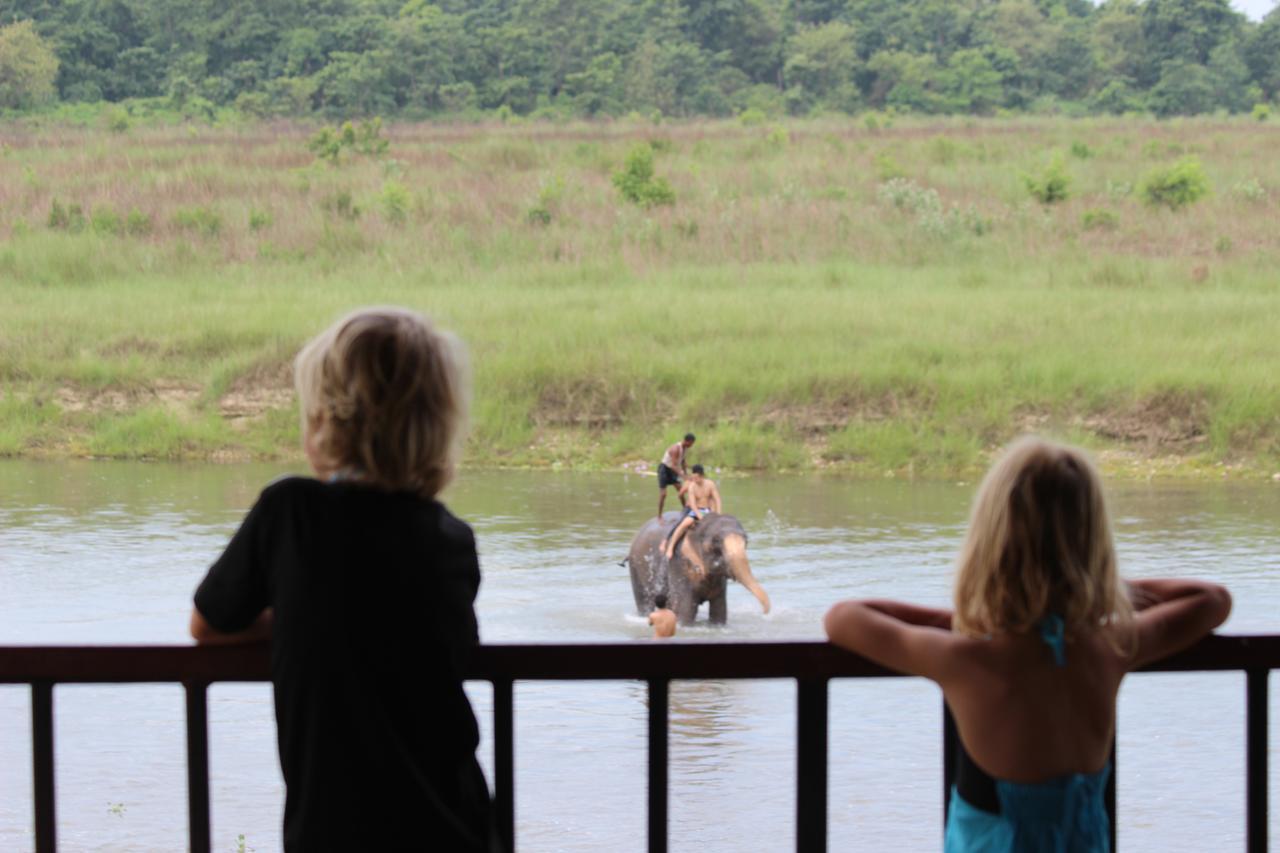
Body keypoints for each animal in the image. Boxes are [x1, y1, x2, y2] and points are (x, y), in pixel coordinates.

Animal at [622, 512, 762, 625]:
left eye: (746, 541)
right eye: (716, 541)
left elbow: (719, 610)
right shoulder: (678, 565)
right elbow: (686, 611)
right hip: (636, 567)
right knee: (645, 603)